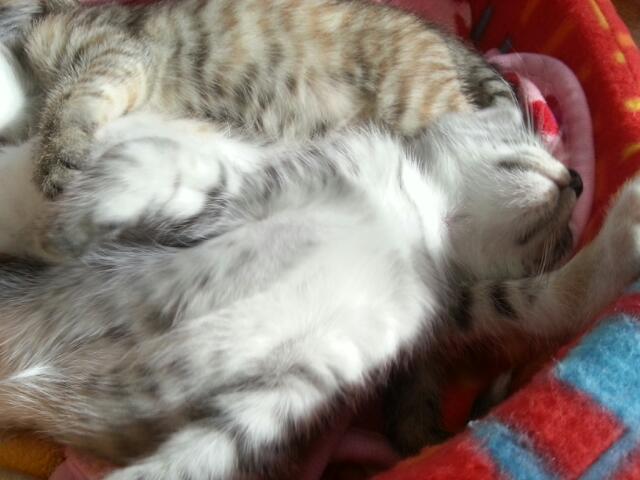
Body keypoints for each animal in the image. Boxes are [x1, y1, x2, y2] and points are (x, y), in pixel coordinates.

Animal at [0, 104, 635, 480]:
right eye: (523, 134)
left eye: (566, 238)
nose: (578, 179)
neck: (416, 221)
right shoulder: (271, 183)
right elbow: (191, 169)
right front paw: (97, 197)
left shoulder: (328, 366)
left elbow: (532, 301)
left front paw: (620, 240)